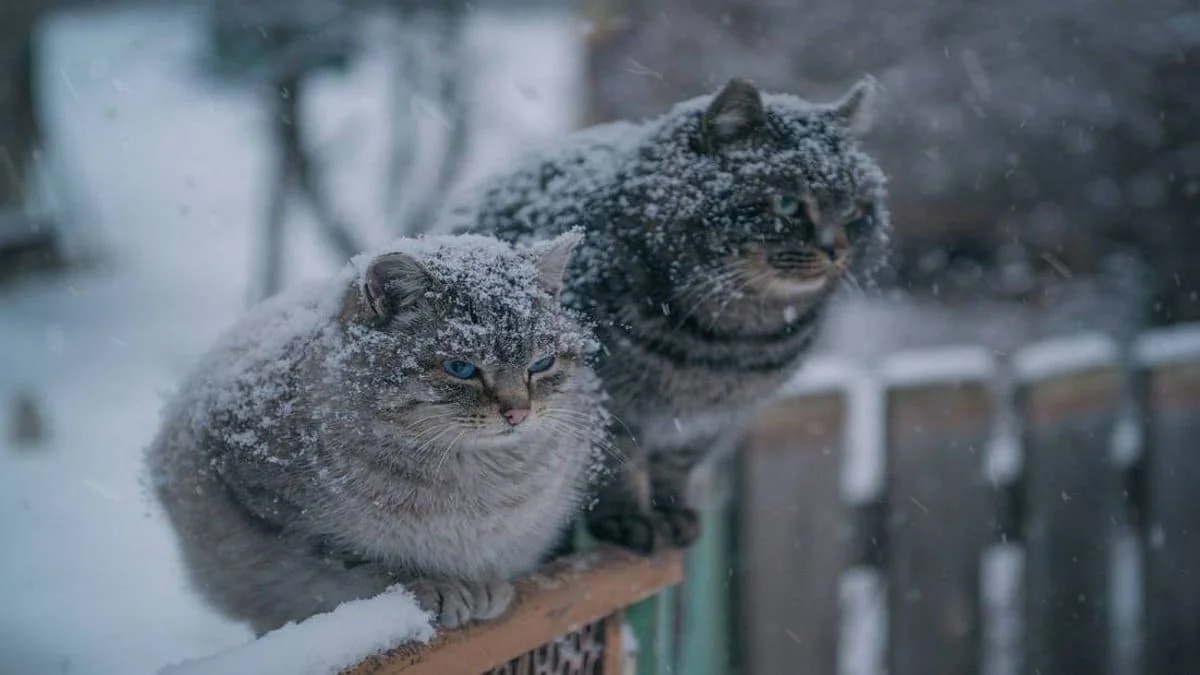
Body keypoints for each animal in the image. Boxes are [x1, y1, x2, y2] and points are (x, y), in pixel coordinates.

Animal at [144, 229, 604, 629]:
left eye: (541, 363)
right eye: (461, 368)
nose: (518, 413)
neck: (474, 478)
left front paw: (485, 585)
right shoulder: (279, 514)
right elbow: (365, 562)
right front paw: (440, 585)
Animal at [451, 77, 892, 552]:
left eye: (853, 209)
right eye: (788, 203)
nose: (837, 250)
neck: (734, 342)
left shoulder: (710, 422)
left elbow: (675, 467)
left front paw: (672, 514)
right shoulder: (610, 403)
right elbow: (617, 465)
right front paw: (628, 520)